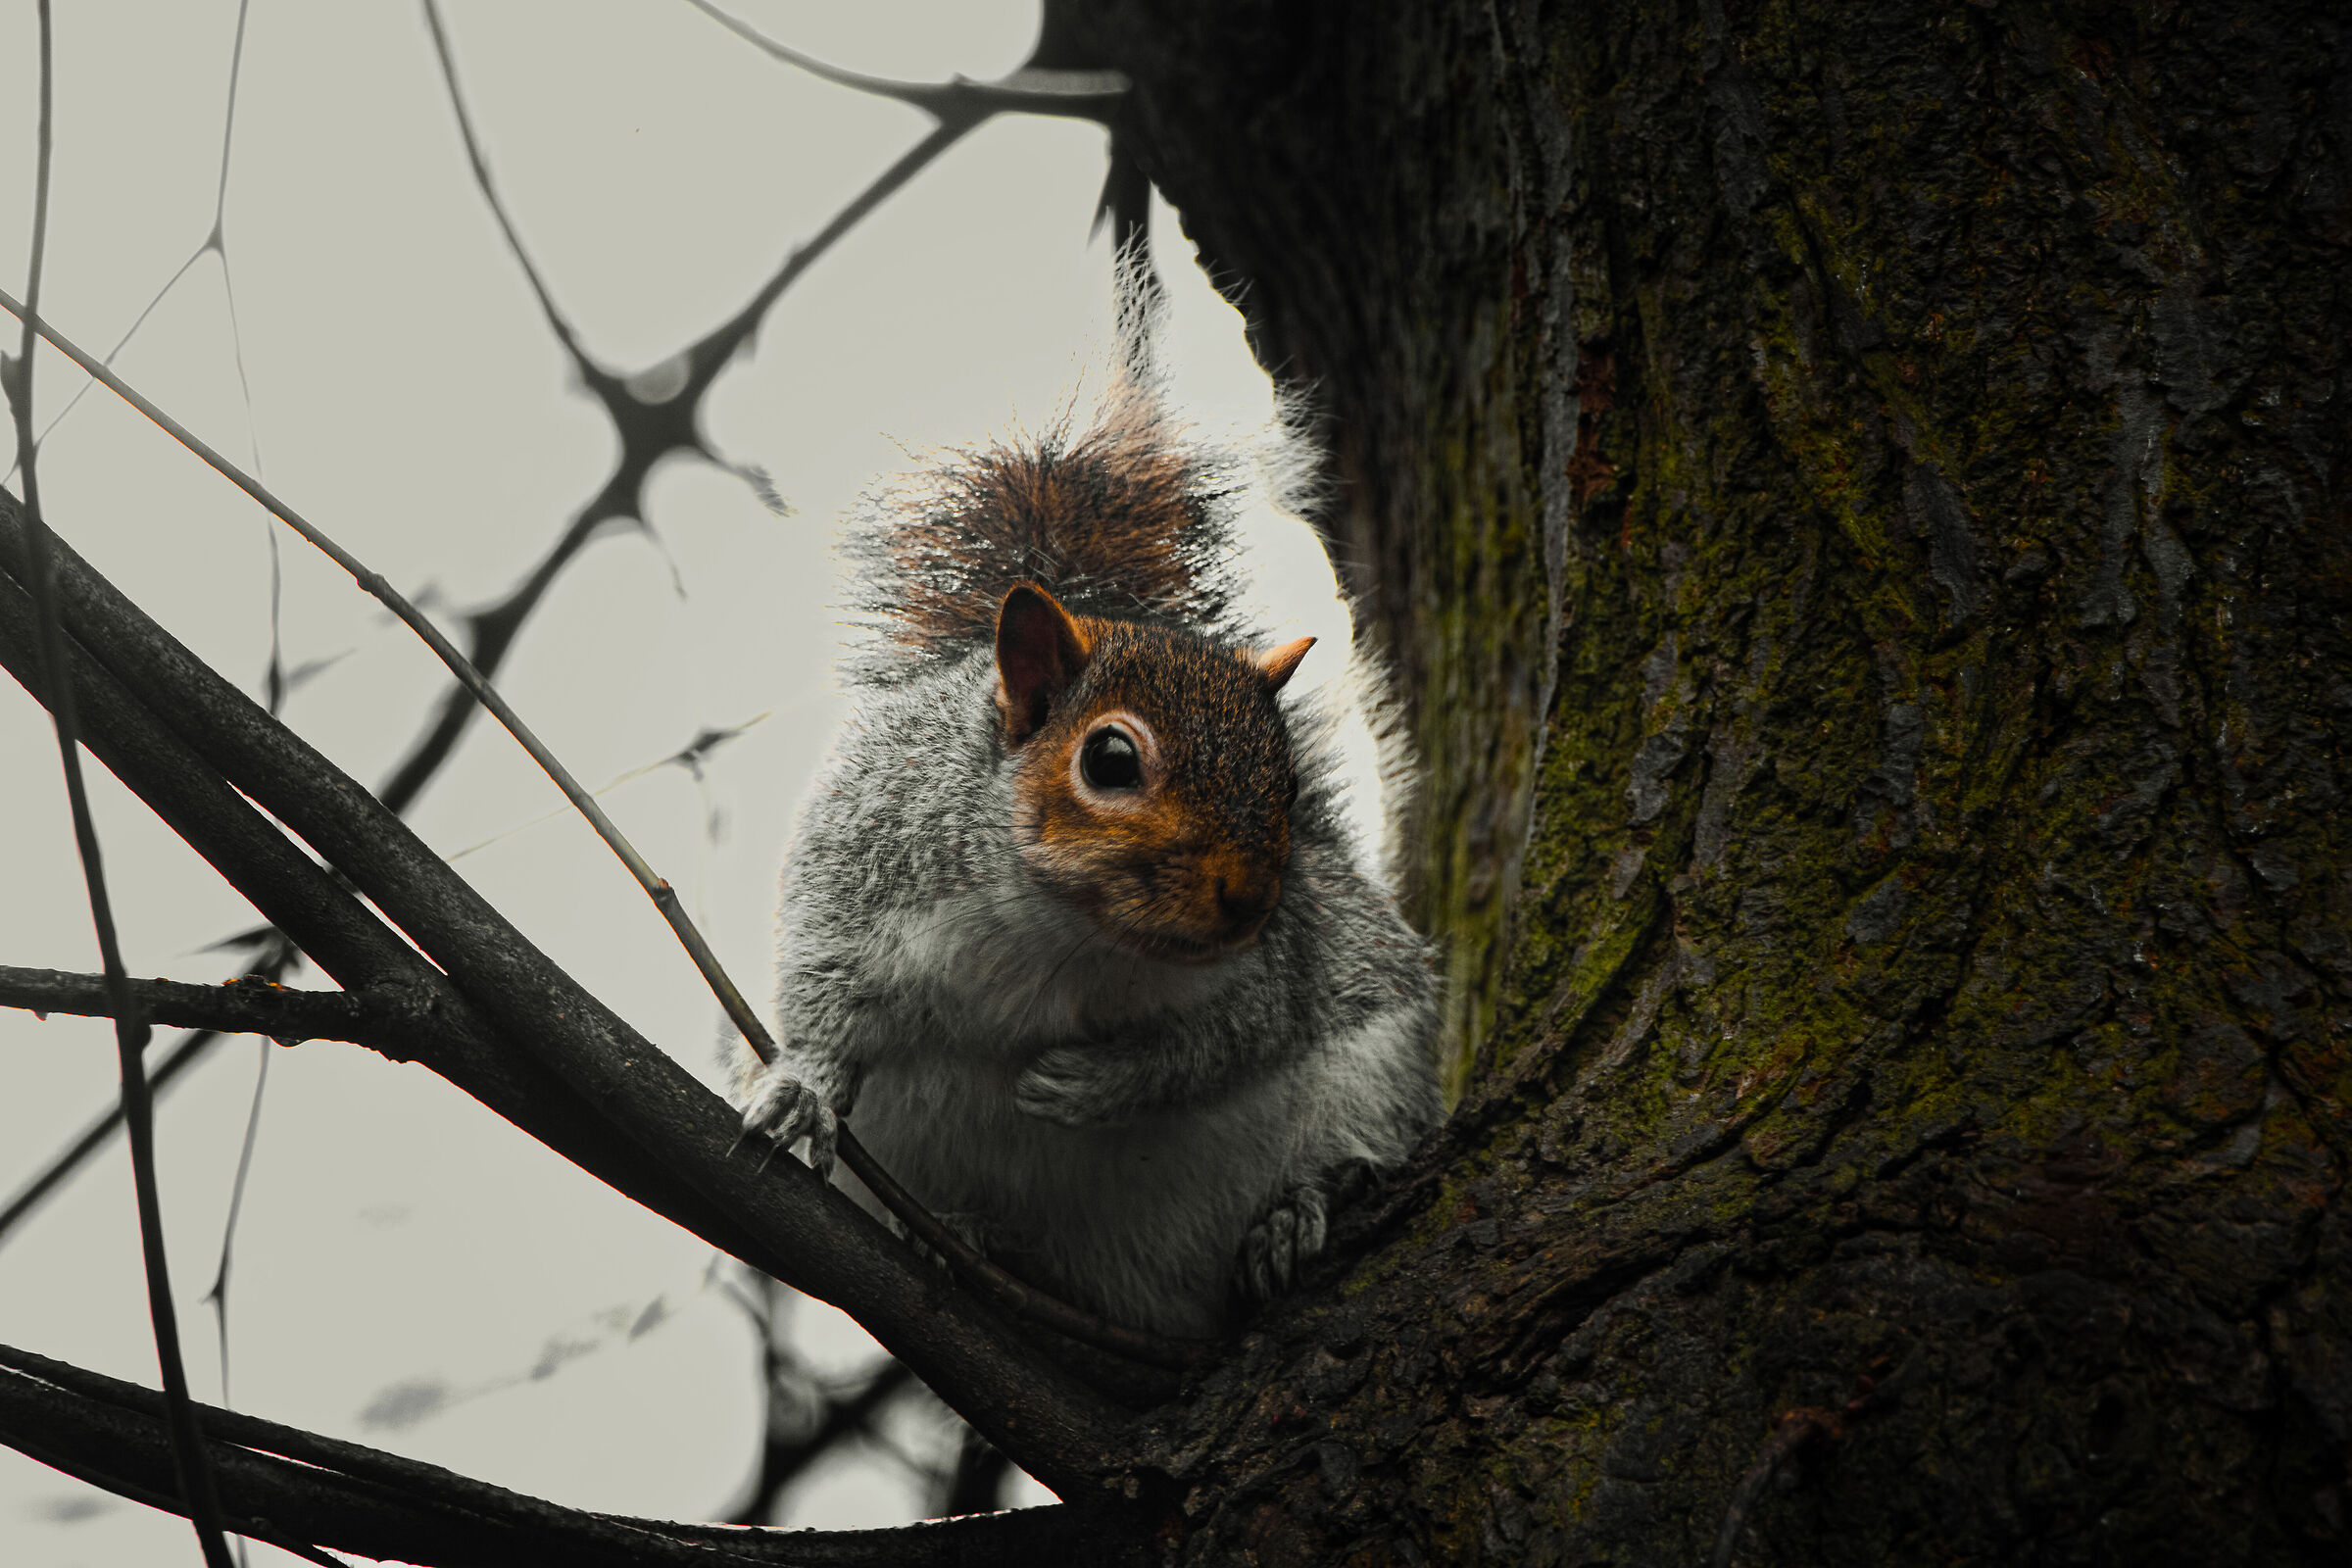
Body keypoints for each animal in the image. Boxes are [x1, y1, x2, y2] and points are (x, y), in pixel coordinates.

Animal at [735, 358, 1441, 1340]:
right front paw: (800, 1086)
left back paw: (1296, 1211)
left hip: (1377, 1073)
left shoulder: (1281, 963)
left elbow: (1232, 1038)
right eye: (1110, 760)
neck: (1060, 926)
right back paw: (967, 1234)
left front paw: (1093, 1085)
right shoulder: (860, 867)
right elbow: (820, 997)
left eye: (1290, 786)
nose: (1248, 901)